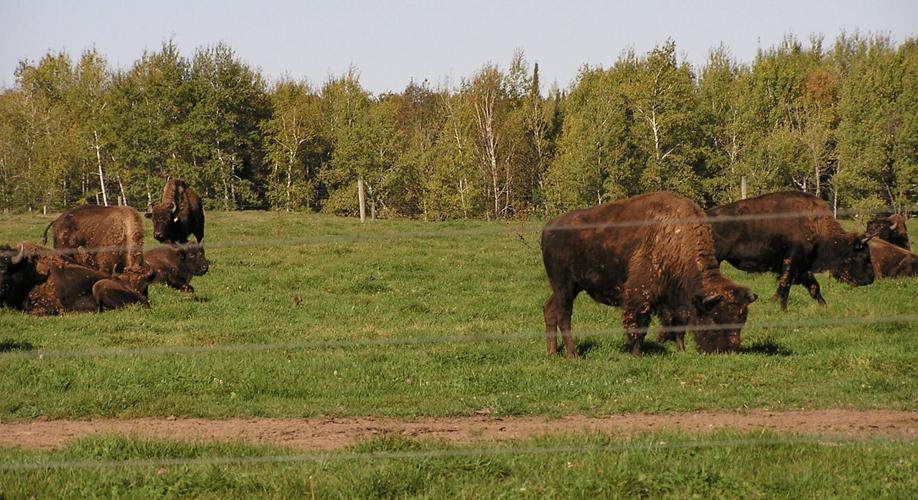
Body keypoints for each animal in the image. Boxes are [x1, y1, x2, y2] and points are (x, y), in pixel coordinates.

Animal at [542, 192, 758, 357]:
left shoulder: (674, 298)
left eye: (741, 320)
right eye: (715, 317)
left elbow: (678, 325)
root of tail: (548, 228)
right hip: (564, 286)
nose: (727, 350)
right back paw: (572, 354)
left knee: (550, 310)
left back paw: (552, 352)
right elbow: (639, 325)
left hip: (571, 287)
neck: (676, 239)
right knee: (564, 316)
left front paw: (681, 350)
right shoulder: (640, 295)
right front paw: (636, 354)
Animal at [707, 191, 873, 311]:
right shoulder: (793, 262)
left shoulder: (803, 267)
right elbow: (785, 285)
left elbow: (813, 287)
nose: (870, 279)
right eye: (863, 256)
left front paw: (824, 306)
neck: (816, 225)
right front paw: (781, 308)